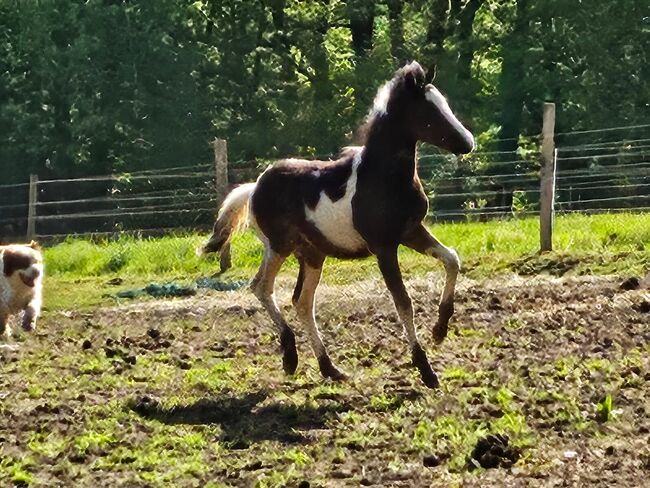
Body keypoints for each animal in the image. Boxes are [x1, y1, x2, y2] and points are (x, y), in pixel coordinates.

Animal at [205, 62, 474, 388]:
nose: (468, 142)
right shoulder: (384, 247)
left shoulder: (412, 232)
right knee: (262, 287)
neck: (382, 177)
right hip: (279, 246)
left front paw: (440, 329)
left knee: (302, 301)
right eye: (428, 110)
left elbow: (452, 260)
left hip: (312, 254)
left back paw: (329, 367)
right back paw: (290, 356)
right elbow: (403, 302)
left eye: (443, 103)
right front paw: (426, 369)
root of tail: (254, 187)